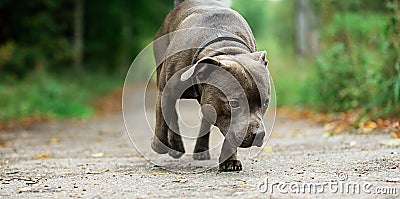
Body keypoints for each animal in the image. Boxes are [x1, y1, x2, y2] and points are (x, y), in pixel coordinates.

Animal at [152, 0, 270, 171]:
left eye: (266, 102)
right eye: (233, 103)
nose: (259, 134)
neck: (224, 48)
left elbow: (230, 134)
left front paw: (229, 161)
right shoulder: (166, 90)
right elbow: (163, 119)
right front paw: (159, 145)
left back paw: (200, 149)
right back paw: (175, 145)